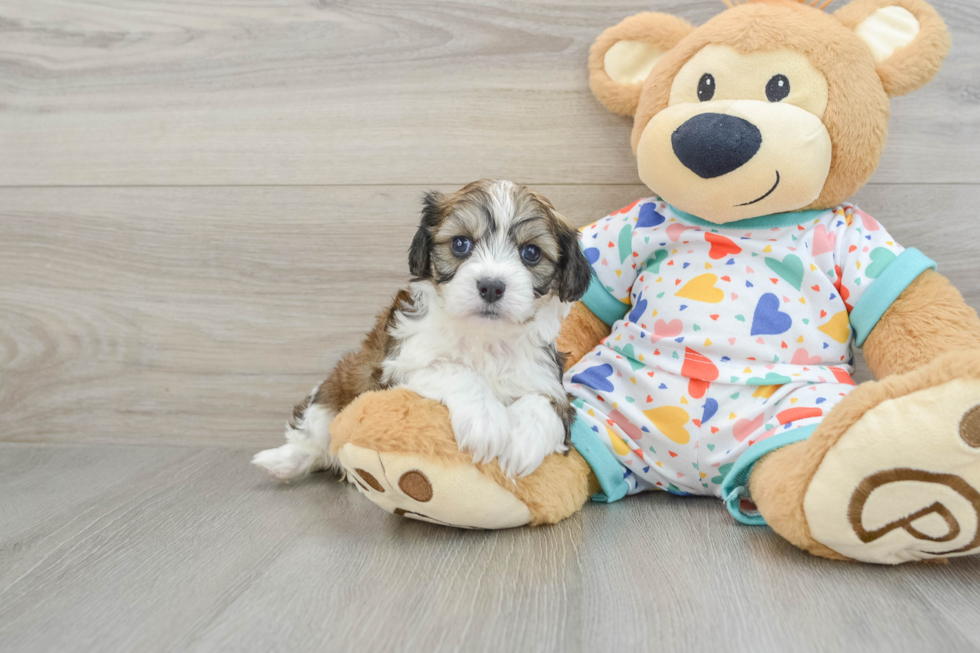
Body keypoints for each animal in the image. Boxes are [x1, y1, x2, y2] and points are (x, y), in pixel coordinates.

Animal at [253, 178, 588, 478]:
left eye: (531, 253)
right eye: (461, 244)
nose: (492, 286)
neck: (484, 338)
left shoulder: (548, 380)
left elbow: (545, 403)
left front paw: (521, 439)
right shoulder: (396, 368)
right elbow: (454, 370)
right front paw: (485, 421)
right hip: (335, 390)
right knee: (316, 434)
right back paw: (283, 461)